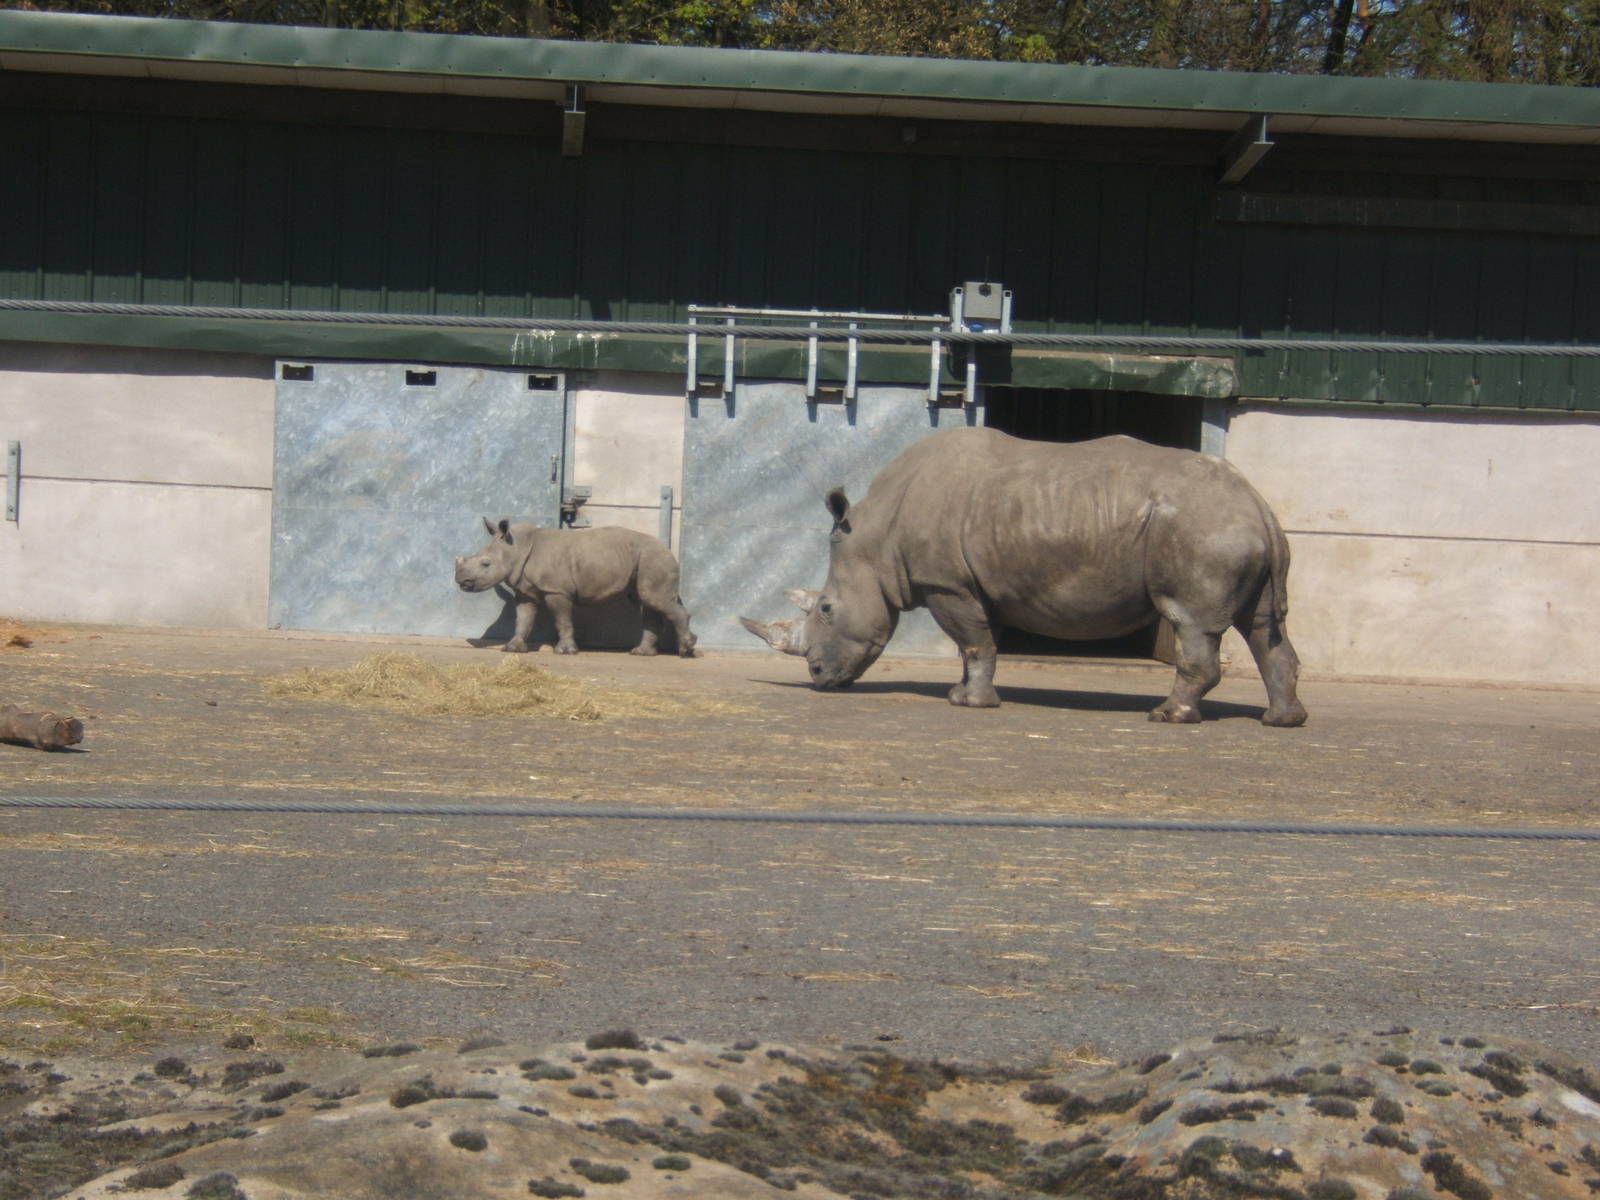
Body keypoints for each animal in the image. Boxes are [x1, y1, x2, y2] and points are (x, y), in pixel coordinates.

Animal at [455, 518, 697, 657]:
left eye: (486, 564)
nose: (461, 581)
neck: (516, 548)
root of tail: (668, 549)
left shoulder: (556, 589)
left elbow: (561, 620)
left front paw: (565, 651)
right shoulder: (525, 591)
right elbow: (523, 619)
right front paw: (513, 649)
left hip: (654, 559)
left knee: (655, 599)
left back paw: (686, 649)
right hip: (644, 559)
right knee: (646, 602)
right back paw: (641, 653)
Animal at [741, 427, 1307, 726]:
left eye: (826, 609)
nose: (818, 677)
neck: (875, 537)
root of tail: (1256, 501)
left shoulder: (946, 583)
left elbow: (973, 643)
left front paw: (971, 706)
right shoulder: (971, 584)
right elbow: (978, 645)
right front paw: (960, 696)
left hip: (1202, 528)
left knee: (1191, 623)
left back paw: (1167, 716)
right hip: (1229, 526)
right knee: (1263, 627)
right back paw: (1282, 720)